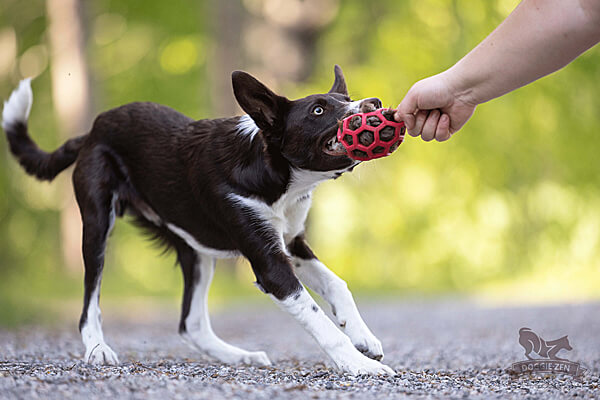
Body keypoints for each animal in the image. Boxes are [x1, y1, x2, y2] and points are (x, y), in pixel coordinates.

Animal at [2, 65, 396, 376]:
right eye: (318, 110)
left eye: (348, 99)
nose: (375, 104)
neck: (276, 176)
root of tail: (94, 129)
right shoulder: (270, 263)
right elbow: (317, 317)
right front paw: (359, 364)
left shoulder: (290, 242)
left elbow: (337, 284)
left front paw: (363, 337)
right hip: (98, 224)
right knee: (90, 304)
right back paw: (98, 350)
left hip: (194, 244)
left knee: (190, 322)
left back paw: (239, 356)